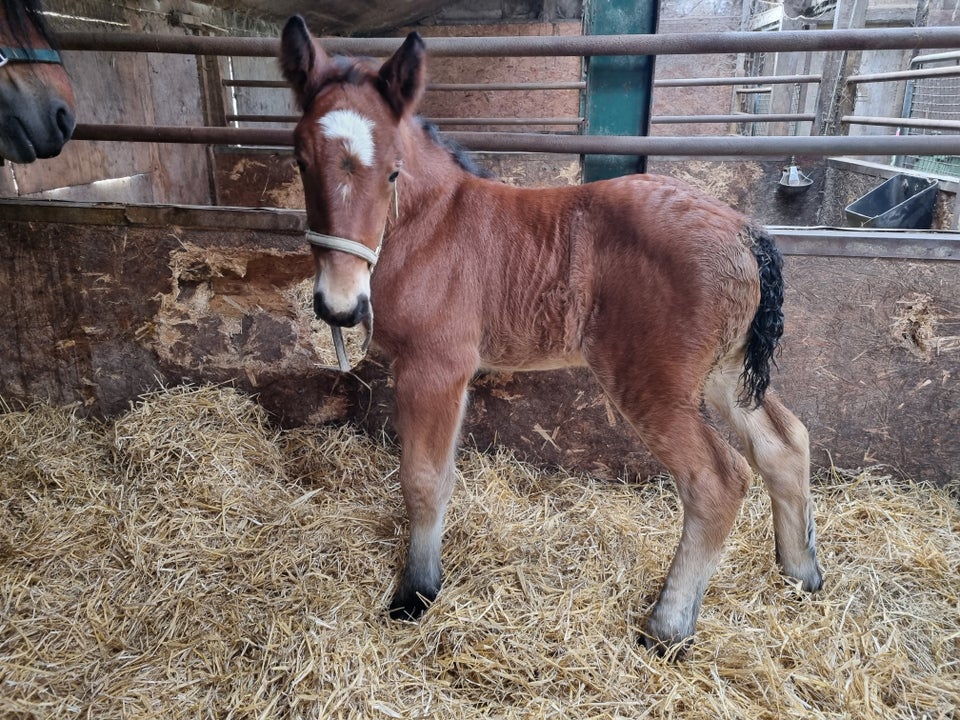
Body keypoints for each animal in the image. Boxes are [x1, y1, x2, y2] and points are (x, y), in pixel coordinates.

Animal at [280, 16, 824, 652]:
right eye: (299, 160)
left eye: (392, 169)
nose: (339, 305)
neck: (430, 226)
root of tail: (745, 230)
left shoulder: (435, 366)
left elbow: (423, 479)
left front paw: (416, 593)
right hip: (725, 371)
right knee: (784, 444)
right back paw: (801, 572)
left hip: (654, 382)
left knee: (717, 480)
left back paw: (667, 627)